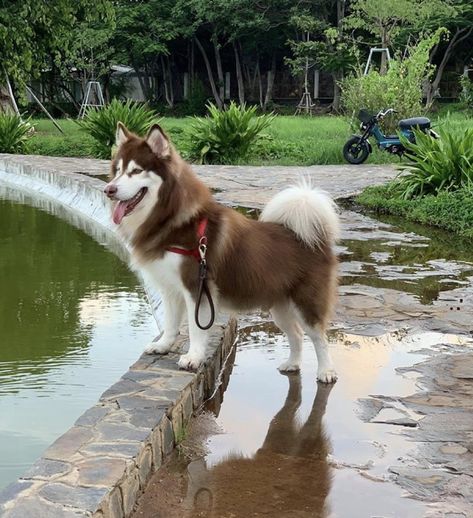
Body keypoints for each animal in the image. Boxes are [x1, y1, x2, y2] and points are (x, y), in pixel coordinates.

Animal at [103, 124, 340, 384]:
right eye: (117, 171)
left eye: (136, 171)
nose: (108, 190)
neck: (173, 220)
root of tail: (310, 235)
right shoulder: (170, 287)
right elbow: (171, 323)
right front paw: (163, 345)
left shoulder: (197, 286)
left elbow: (196, 328)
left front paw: (193, 357)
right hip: (280, 306)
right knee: (296, 334)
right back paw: (292, 364)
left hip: (306, 301)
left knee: (319, 337)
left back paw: (326, 371)